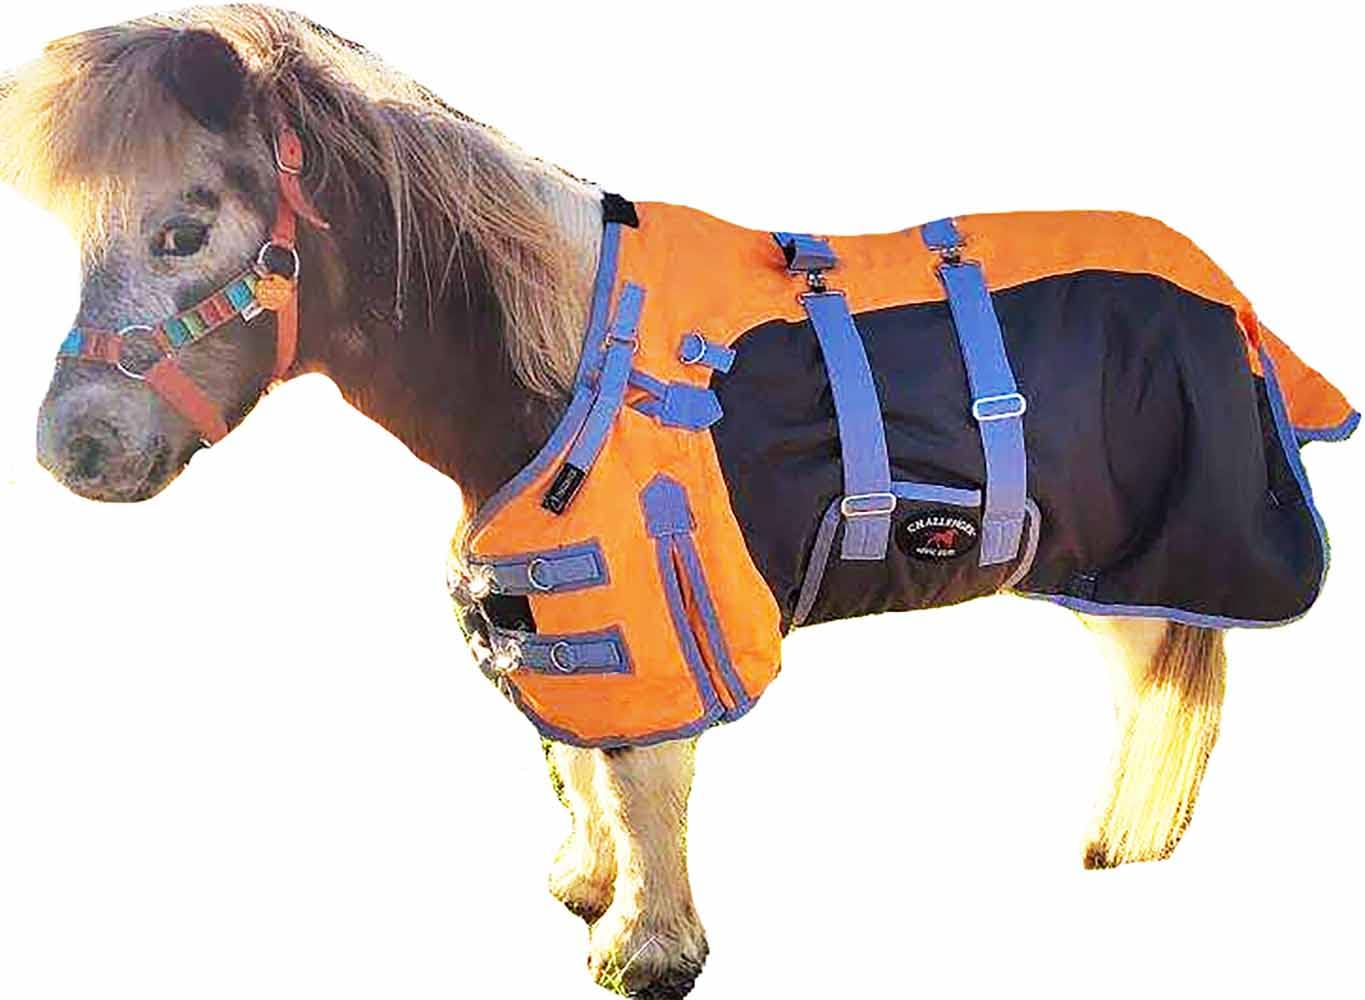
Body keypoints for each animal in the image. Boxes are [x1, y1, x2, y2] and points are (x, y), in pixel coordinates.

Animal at [2, 8, 1355, 998]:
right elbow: (575, 760)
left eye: (183, 230)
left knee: (1163, 689)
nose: (75, 445)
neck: (556, 362)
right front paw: (588, 886)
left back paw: (1125, 840)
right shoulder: (547, 609)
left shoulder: (658, 606)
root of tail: (1228, 295)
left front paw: (646, 950)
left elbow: (642, 776)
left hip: (1155, 558)